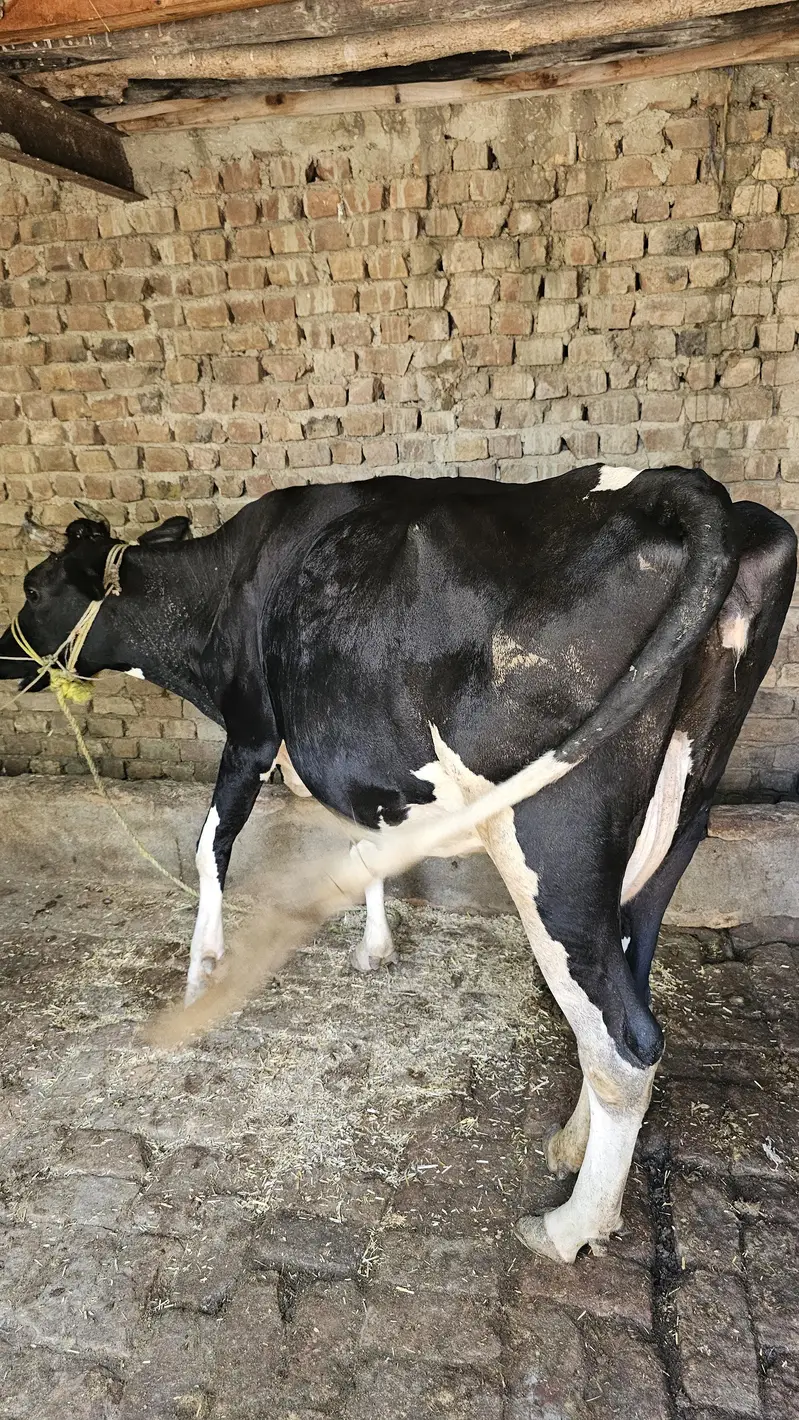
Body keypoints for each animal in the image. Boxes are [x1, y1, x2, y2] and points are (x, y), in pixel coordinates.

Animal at [0, 463, 794, 1264]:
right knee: (626, 990)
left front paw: (201, 977)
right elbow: (365, 841)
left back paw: (569, 1225)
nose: (2, 655)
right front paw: (375, 948)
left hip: (555, 843)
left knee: (623, 1044)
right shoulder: (357, 764)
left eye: (34, 586)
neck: (221, 586)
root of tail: (675, 485)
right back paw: (570, 1145)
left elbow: (210, 847)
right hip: (679, 820)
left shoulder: (252, 731)